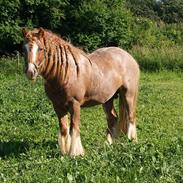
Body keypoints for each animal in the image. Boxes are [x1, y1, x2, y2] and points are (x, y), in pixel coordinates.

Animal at [21, 27, 140, 157]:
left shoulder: (75, 104)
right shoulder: (57, 106)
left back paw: (132, 140)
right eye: (24, 49)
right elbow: (64, 128)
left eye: (41, 48)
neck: (64, 72)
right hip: (108, 99)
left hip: (129, 94)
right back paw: (108, 144)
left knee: (131, 116)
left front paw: (75, 153)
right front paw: (64, 152)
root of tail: (128, 56)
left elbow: (74, 128)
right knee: (112, 118)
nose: (30, 72)